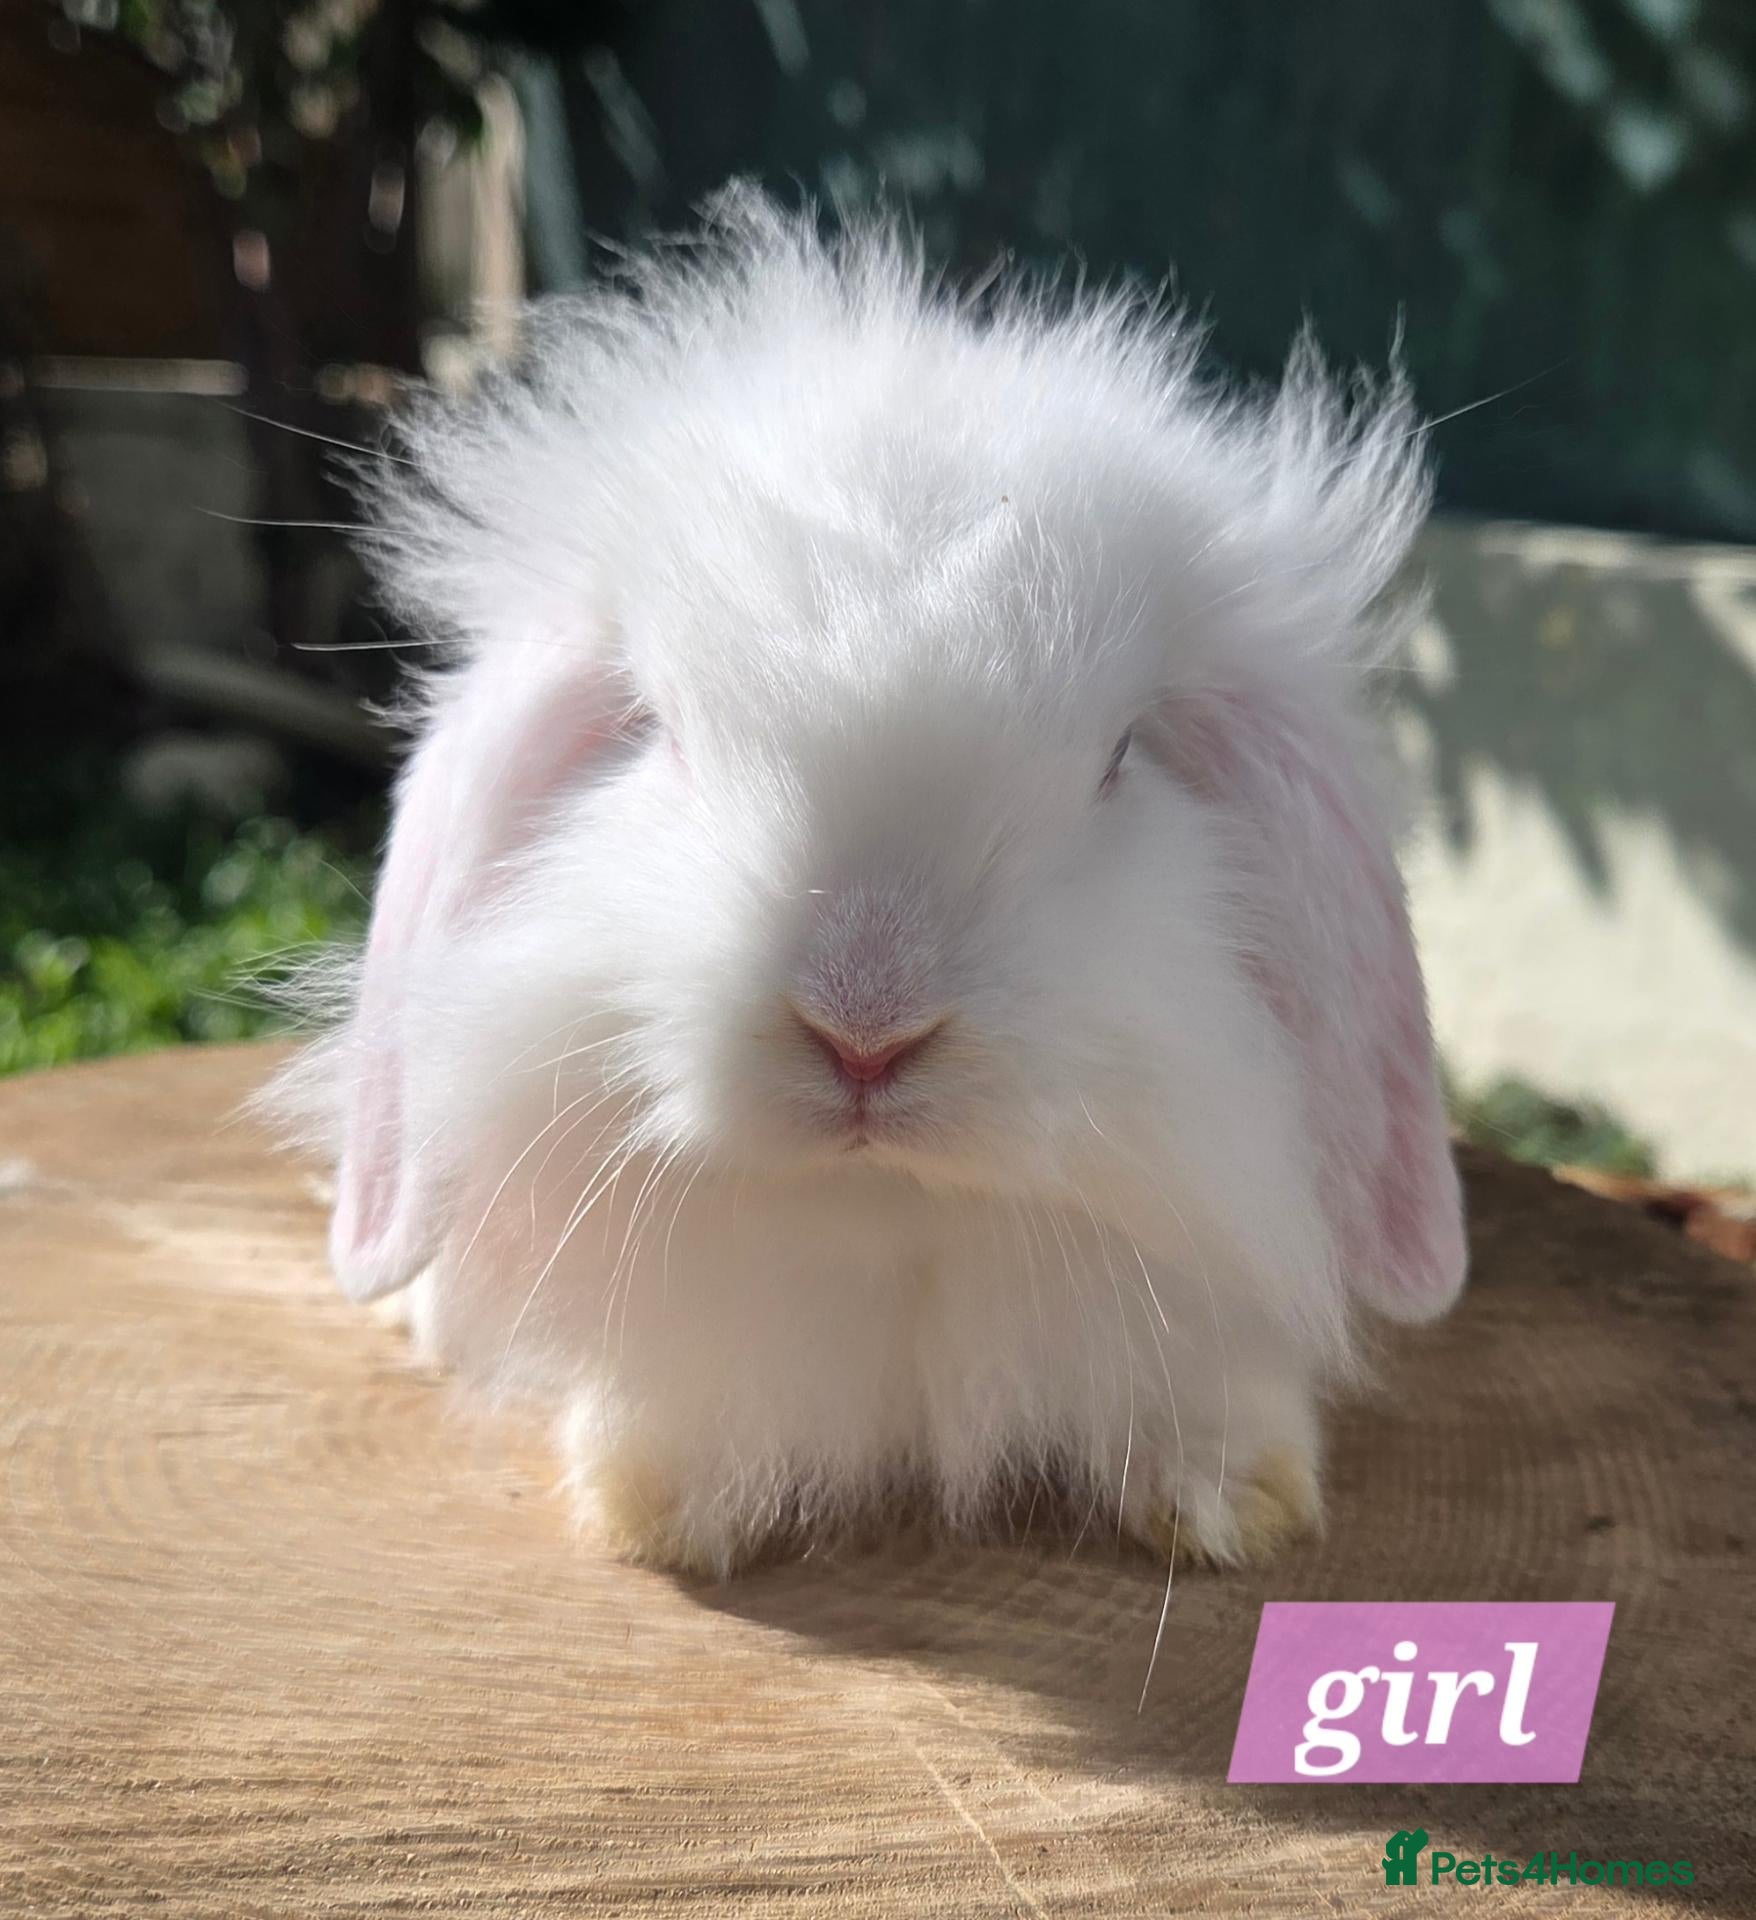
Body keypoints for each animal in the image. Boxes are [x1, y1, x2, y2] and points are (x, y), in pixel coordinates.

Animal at [270, 186, 1466, 1580]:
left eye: (1121, 759)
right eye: (659, 731)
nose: (864, 1030)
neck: (896, 1231)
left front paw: (1242, 1505)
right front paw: (649, 1507)